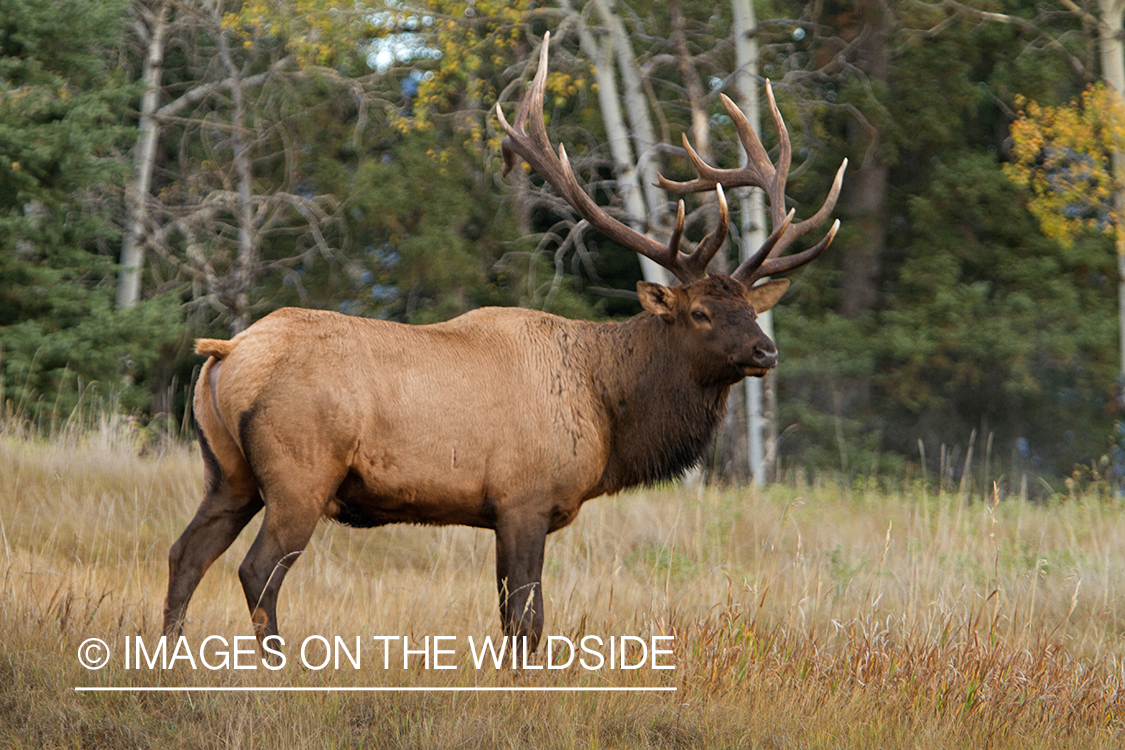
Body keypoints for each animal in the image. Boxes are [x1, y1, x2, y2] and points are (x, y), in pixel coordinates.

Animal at [164, 35, 846, 652]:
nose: (765, 353)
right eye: (701, 312)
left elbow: (512, 618)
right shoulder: (524, 498)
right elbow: (526, 622)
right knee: (257, 570)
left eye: (751, 310)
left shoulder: (502, 512)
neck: (607, 409)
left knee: (184, 553)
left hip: (227, 472)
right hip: (299, 470)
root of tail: (224, 355)